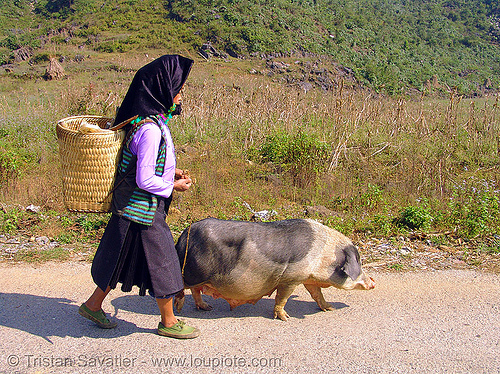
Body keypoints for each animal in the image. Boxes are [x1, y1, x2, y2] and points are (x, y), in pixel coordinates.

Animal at [174, 218, 374, 320]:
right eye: (358, 262)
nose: (373, 281)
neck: (324, 256)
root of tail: (184, 234)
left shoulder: (307, 277)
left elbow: (317, 294)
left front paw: (329, 308)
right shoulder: (291, 277)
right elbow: (282, 297)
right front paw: (286, 318)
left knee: (195, 290)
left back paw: (206, 307)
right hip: (192, 271)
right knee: (181, 285)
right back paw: (178, 308)